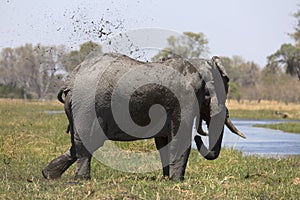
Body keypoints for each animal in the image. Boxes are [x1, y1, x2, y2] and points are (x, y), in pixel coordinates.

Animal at [42, 52, 246, 180]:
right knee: (88, 141)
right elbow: (180, 138)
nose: (199, 137)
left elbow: (163, 142)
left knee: (81, 143)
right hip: (87, 104)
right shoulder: (183, 98)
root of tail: (70, 79)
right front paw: (177, 181)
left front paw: (166, 178)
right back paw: (82, 179)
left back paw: (49, 175)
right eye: (208, 96)